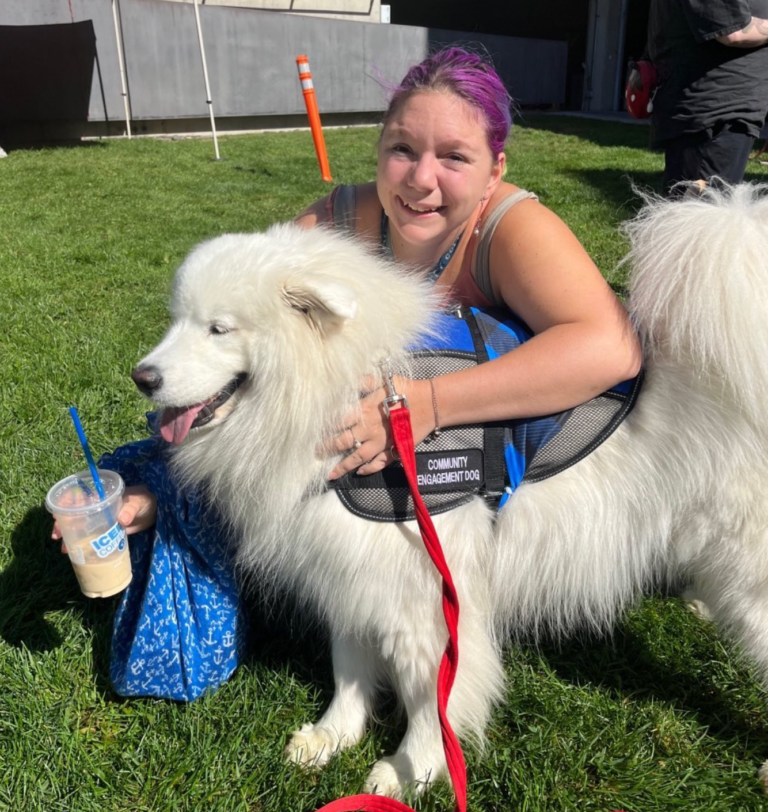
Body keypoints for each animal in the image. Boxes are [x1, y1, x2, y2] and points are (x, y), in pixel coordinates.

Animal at [135, 186, 768, 800]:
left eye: (219, 328)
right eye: (177, 320)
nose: (143, 377)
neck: (346, 390)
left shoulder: (428, 591)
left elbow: (429, 696)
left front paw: (408, 772)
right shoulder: (350, 571)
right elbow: (348, 666)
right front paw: (332, 737)